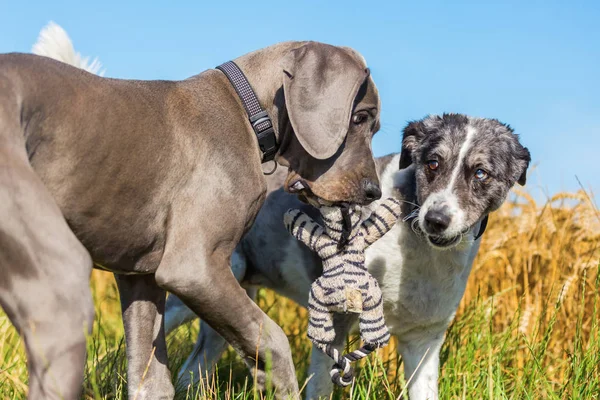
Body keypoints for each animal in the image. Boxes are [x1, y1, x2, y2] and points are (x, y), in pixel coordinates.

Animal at [0, 39, 382, 398]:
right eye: (360, 118)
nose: (374, 192)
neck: (248, 109)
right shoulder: (195, 269)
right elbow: (274, 339)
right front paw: (271, 381)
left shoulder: (141, 279)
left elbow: (153, 382)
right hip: (62, 286)